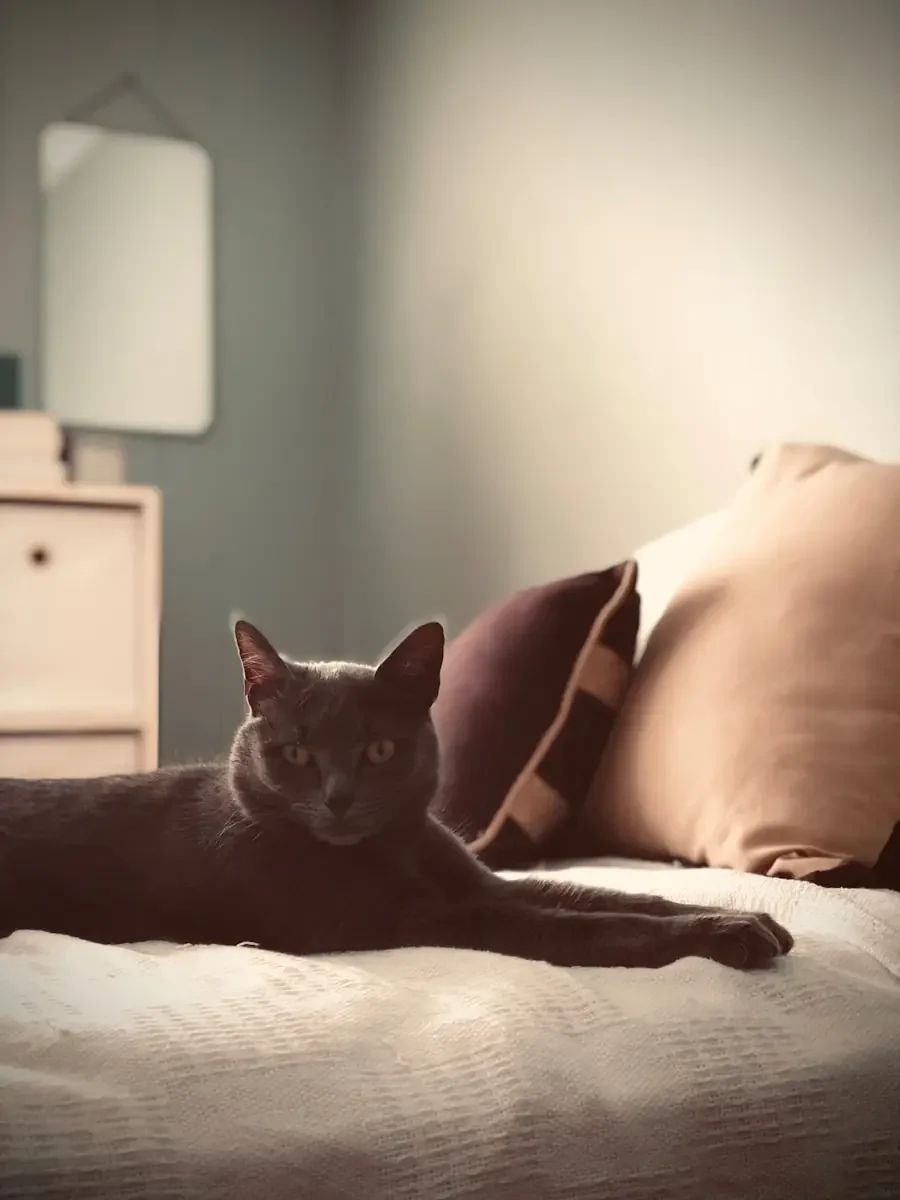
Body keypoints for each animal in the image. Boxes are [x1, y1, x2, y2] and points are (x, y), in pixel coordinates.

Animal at [0, 619, 793, 970]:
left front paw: (745, 915)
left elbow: (606, 893)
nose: (339, 798)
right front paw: (727, 936)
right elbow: (570, 926)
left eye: (379, 749)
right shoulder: (405, 917)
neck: (396, 851)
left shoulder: (483, 878)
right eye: (296, 752)